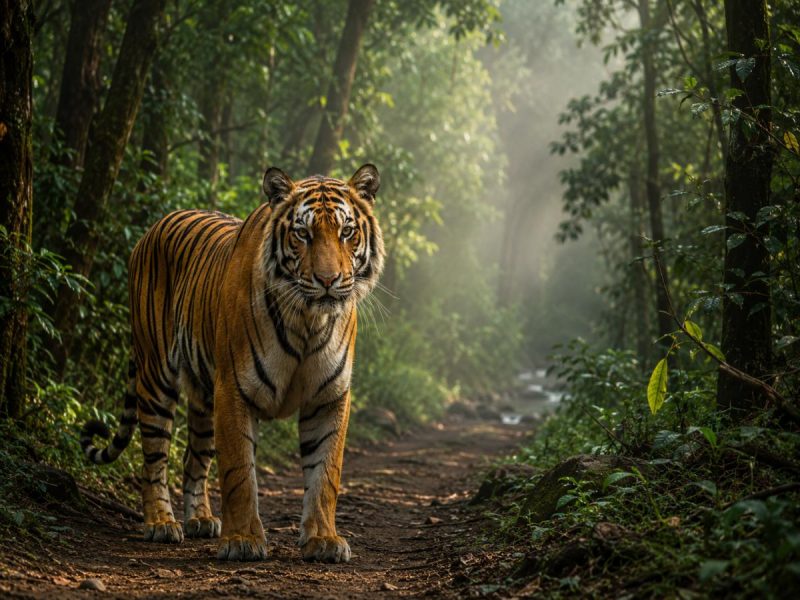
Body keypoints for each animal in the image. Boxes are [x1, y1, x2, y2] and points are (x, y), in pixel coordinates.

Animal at [80, 164, 384, 563]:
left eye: (347, 232)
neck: (308, 320)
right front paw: (242, 540)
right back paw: (161, 523)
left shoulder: (329, 396)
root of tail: (151, 228)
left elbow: (325, 472)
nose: (328, 280)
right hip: (156, 376)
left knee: (192, 460)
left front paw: (323, 540)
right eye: (302, 234)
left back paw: (201, 520)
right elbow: (240, 472)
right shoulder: (235, 389)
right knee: (154, 459)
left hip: (203, 394)